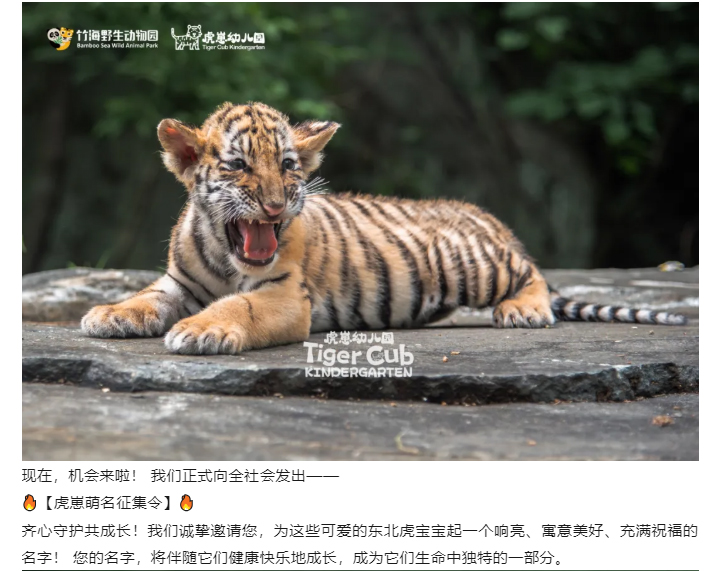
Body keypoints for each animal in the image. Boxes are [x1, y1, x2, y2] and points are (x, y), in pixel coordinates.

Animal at [81, 102, 688, 355]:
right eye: (238, 167)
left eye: (289, 166)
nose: (275, 207)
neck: (227, 255)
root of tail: (482, 213)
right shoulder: (178, 283)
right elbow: (145, 296)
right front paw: (109, 314)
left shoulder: (284, 295)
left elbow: (240, 306)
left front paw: (202, 330)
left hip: (472, 264)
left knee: (531, 272)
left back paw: (524, 311)